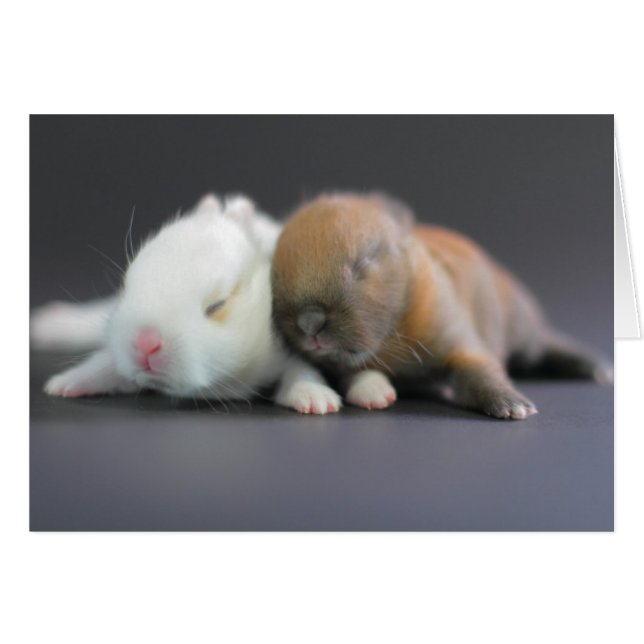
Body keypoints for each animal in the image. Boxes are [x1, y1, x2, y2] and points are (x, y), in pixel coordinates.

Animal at [31, 193, 342, 415]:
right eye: (127, 286)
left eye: (217, 305)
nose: (145, 342)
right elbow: (105, 364)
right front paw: (65, 383)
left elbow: (302, 370)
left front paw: (316, 399)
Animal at [270, 192, 612, 420]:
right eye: (277, 273)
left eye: (363, 263)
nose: (310, 323)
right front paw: (374, 393)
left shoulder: (459, 340)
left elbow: (479, 371)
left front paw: (514, 406)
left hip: (524, 332)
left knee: (546, 344)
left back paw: (596, 368)